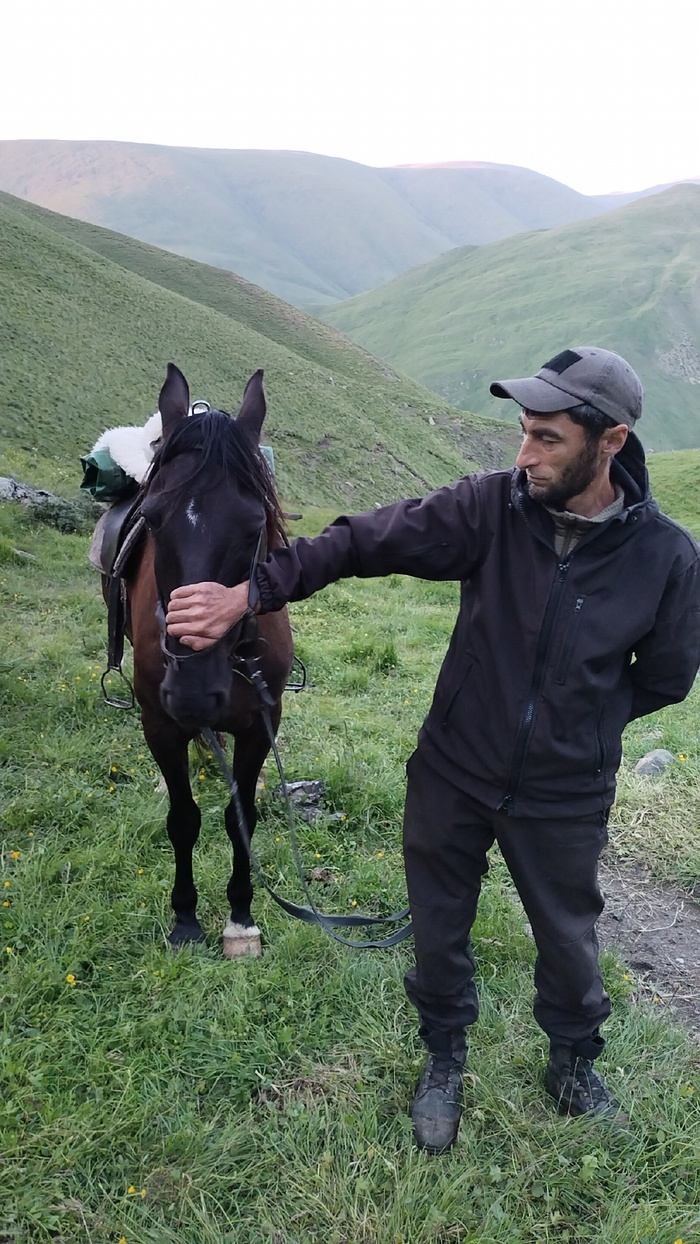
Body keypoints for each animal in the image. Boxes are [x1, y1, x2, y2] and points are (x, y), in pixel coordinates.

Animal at [123, 360, 293, 950]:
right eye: (151, 519)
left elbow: (242, 817)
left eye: (254, 524)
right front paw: (186, 918)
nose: (193, 695)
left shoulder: (262, 722)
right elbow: (183, 819)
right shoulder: (159, 723)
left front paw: (241, 917)